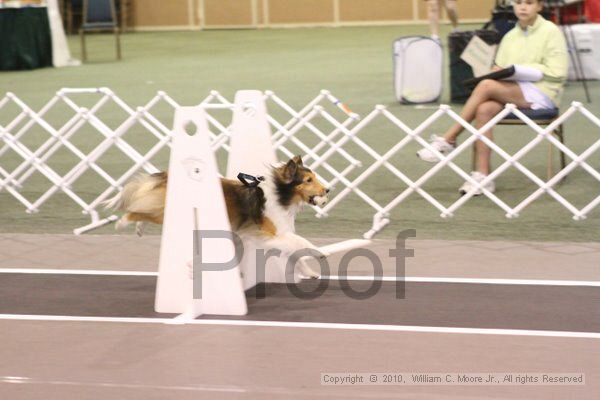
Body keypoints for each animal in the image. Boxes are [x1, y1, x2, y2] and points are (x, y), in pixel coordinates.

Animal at [103, 155, 328, 276]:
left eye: (314, 178)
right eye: (308, 180)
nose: (328, 190)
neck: (281, 194)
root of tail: (167, 175)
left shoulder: (276, 235)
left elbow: (295, 251)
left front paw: (309, 273)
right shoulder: (269, 234)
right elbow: (300, 242)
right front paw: (318, 252)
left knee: (146, 212)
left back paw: (139, 228)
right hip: (168, 209)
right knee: (136, 211)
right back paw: (121, 223)